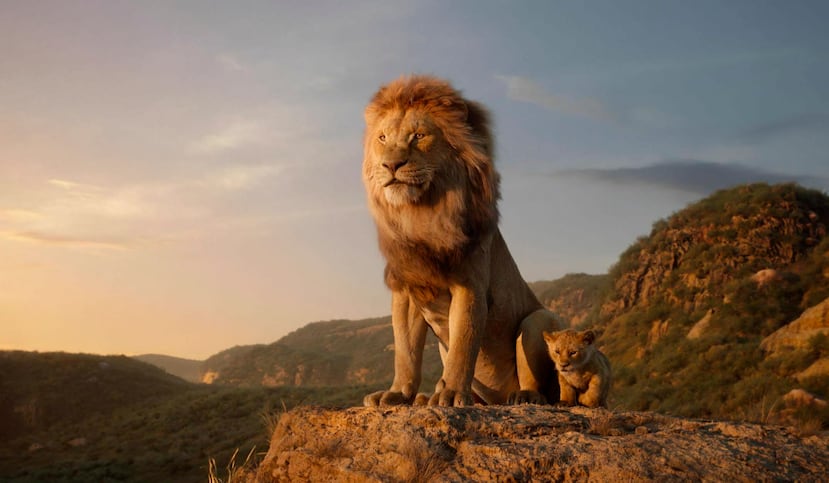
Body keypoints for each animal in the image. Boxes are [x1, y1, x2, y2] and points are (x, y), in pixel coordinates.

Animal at [361, 75, 564, 407]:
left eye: (418, 136)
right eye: (382, 138)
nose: (391, 165)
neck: (421, 214)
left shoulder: (470, 285)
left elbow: (463, 345)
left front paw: (452, 393)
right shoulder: (407, 289)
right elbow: (405, 351)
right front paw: (397, 393)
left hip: (538, 320)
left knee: (541, 386)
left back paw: (523, 396)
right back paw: (426, 397)